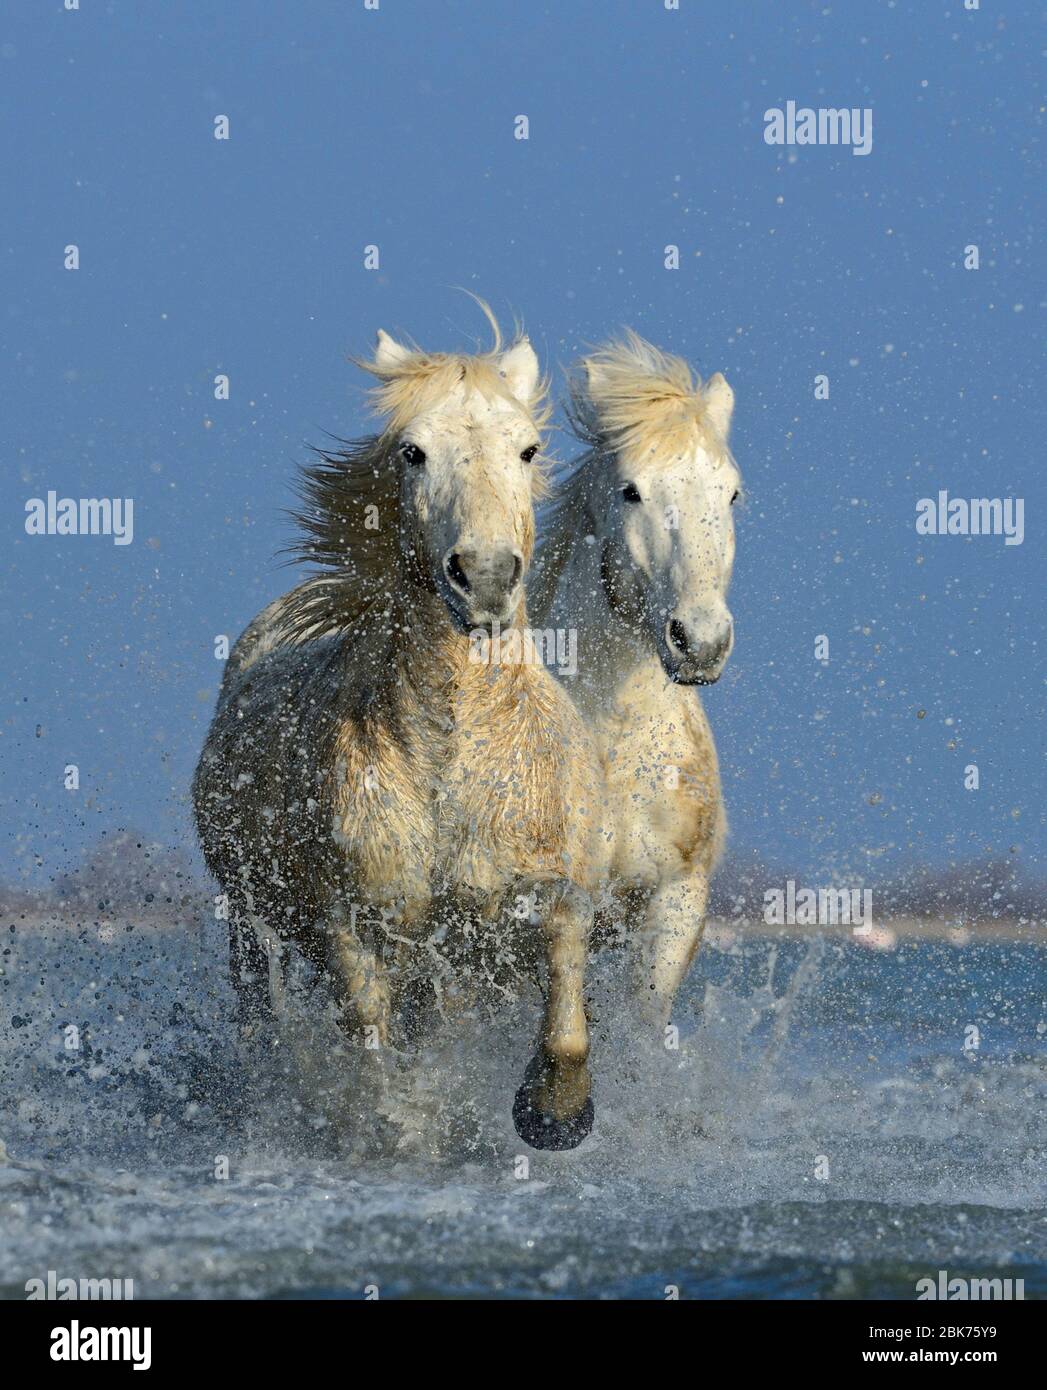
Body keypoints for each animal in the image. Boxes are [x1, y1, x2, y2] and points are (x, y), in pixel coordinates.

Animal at [192, 310, 608, 1150]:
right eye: (412, 451)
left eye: (527, 448)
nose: (484, 577)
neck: (452, 754)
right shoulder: (351, 921)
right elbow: (368, 1038)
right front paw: (390, 1127)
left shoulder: (525, 905)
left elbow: (565, 990)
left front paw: (554, 1112)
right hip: (250, 916)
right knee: (259, 1008)